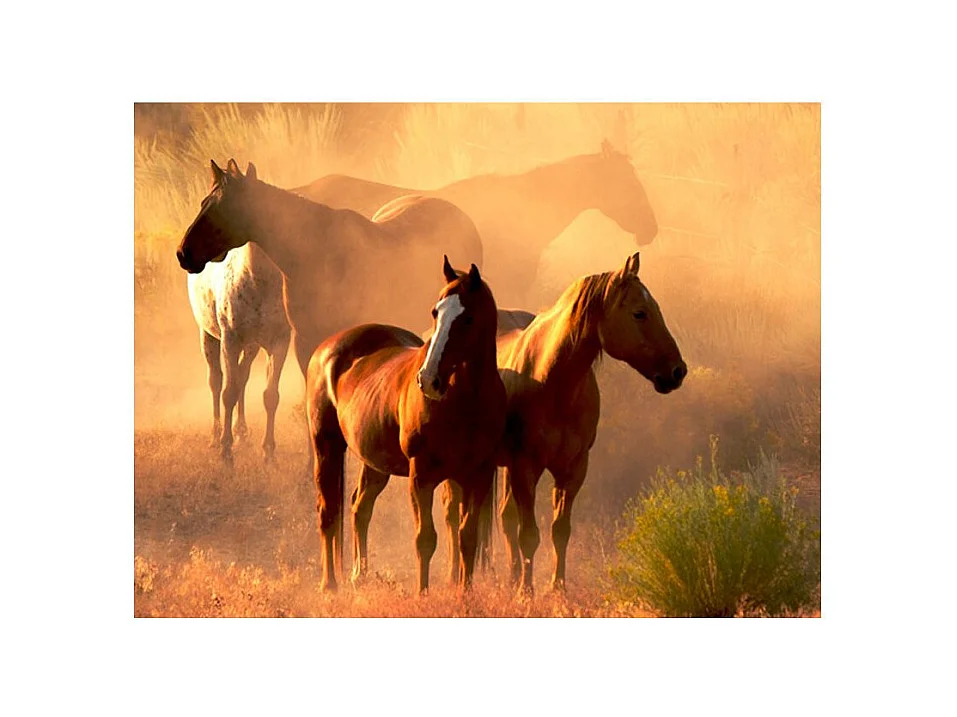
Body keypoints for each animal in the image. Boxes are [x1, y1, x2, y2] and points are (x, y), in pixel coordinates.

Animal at [186, 239, 290, 463]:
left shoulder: (279, 342)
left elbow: (270, 395)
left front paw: (268, 452)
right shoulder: (230, 341)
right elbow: (228, 393)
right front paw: (226, 450)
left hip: (251, 347)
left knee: (243, 377)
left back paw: (241, 431)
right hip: (208, 337)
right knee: (216, 381)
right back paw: (215, 436)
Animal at [305, 256, 506, 593]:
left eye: (468, 318)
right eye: (435, 312)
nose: (428, 379)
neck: (465, 400)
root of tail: (327, 349)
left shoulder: (476, 475)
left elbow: (467, 537)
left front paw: (464, 594)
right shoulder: (420, 475)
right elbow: (425, 539)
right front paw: (422, 595)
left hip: (374, 463)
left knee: (359, 507)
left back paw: (359, 574)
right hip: (326, 447)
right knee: (328, 511)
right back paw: (329, 584)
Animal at [486, 251, 687, 595]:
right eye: (640, 313)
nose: (678, 370)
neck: (550, 380)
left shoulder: (574, 468)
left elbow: (560, 530)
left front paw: (557, 589)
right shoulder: (526, 467)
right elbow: (530, 534)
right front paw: (526, 593)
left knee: (505, 518)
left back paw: (510, 578)